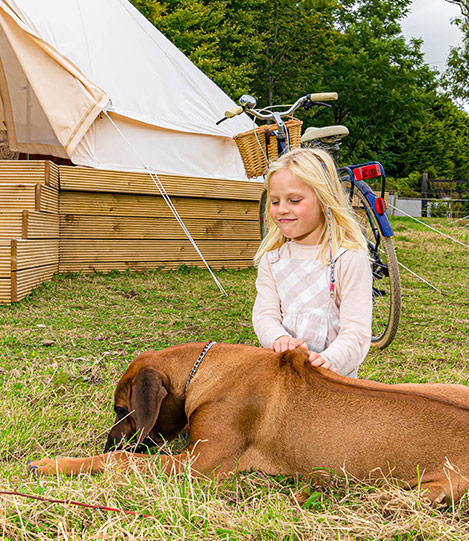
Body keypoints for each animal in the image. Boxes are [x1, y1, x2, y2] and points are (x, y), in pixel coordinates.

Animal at [28, 342, 468, 502]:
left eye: (121, 410)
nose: (108, 441)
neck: (206, 371)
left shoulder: (198, 466)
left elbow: (124, 462)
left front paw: (54, 464)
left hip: (433, 489)